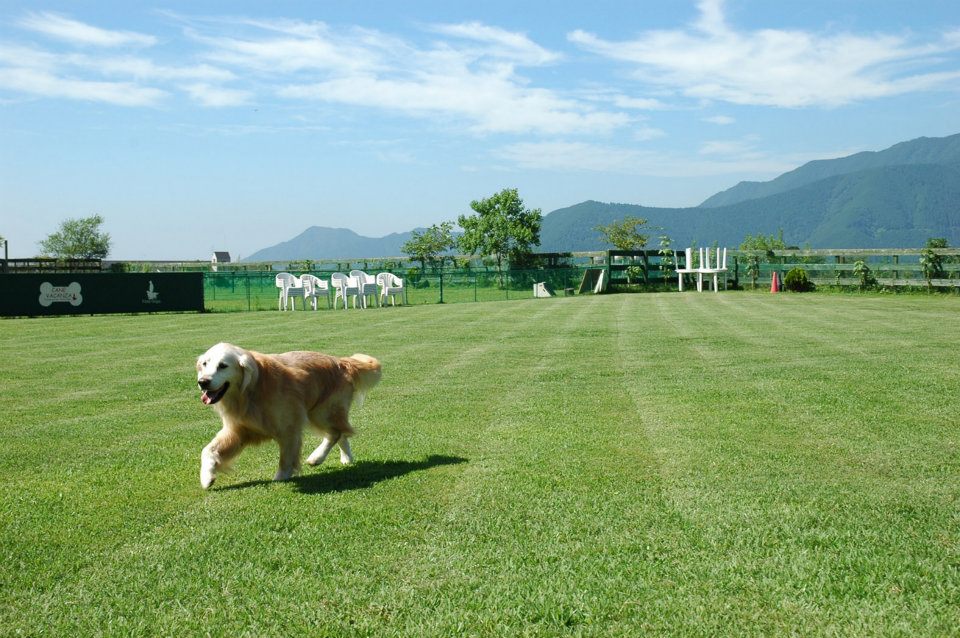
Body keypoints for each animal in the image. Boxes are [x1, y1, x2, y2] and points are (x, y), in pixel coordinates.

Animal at [196, 344, 382, 490]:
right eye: (205, 364)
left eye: (223, 365)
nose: (202, 382)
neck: (251, 390)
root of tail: (341, 362)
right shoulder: (237, 430)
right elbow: (208, 450)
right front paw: (206, 477)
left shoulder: (289, 427)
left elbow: (286, 457)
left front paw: (281, 477)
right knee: (342, 432)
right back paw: (346, 458)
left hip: (321, 412)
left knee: (336, 433)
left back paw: (317, 457)